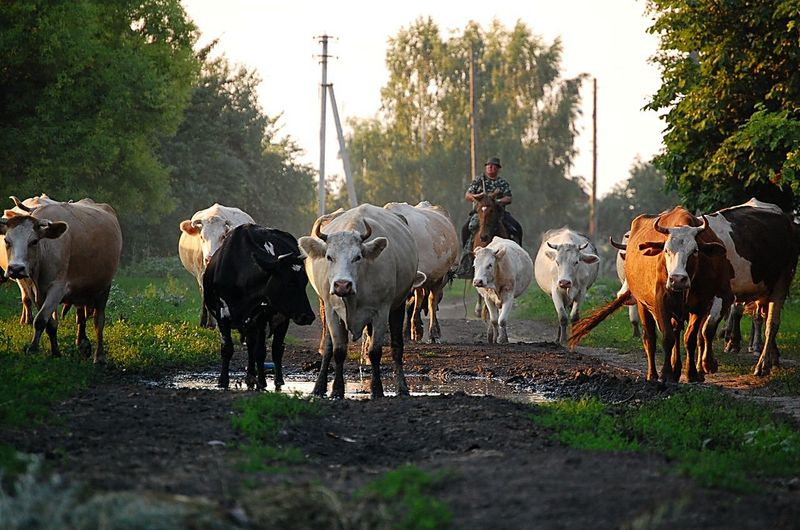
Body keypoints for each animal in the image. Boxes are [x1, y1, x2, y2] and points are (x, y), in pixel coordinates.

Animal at [0, 199, 123, 364]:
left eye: (34, 241)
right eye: (7, 241)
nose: (16, 269)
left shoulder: (57, 288)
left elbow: (40, 320)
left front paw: (32, 349)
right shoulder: (35, 291)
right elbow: (49, 323)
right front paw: (55, 352)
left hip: (104, 286)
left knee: (99, 321)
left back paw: (99, 357)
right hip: (81, 290)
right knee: (81, 316)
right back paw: (83, 343)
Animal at [203, 224, 315, 391]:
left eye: (304, 282)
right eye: (290, 283)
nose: (308, 316)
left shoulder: (261, 316)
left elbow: (260, 351)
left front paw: (262, 382)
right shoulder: (222, 314)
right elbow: (227, 348)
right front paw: (223, 381)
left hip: (281, 317)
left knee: (275, 349)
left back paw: (276, 380)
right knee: (252, 346)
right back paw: (251, 377)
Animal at [298, 204, 426, 399]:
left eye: (357, 257)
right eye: (329, 257)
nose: (342, 285)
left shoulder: (381, 311)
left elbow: (375, 352)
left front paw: (377, 389)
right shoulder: (332, 310)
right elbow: (338, 350)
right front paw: (337, 390)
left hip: (398, 305)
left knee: (397, 347)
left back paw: (402, 387)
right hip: (324, 307)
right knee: (327, 346)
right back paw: (319, 387)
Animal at [570, 206, 732, 383]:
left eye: (695, 251)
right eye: (666, 250)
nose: (677, 279)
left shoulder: (700, 305)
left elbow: (689, 338)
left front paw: (691, 374)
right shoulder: (661, 303)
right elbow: (667, 338)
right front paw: (666, 374)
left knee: (677, 332)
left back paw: (677, 370)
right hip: (643, 305)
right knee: (650, 339)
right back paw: (653, 374)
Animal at [701, 199, 799, 376]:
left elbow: (707, 327)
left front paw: (708, 363)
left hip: (781, 279)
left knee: (770, 322)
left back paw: (762, 361)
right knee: (760, 316)